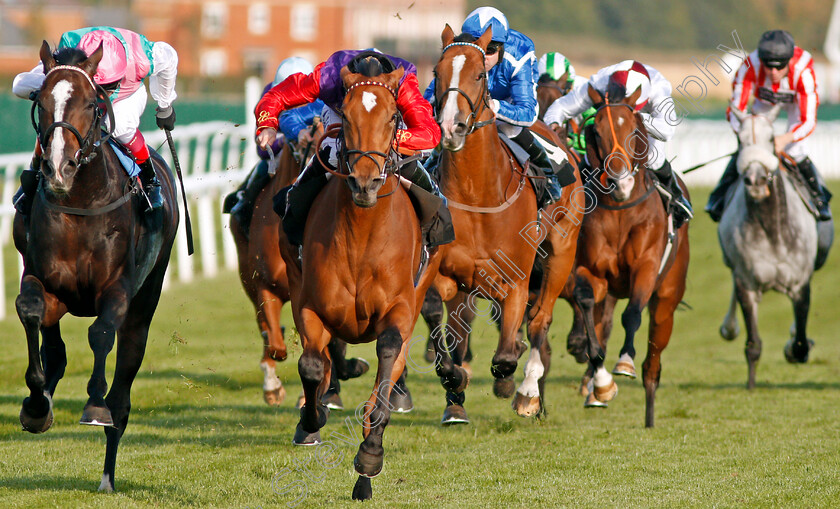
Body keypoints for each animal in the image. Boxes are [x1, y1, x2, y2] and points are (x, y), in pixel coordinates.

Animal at [13, 42, 179, 488]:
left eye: (91, 104)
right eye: (41, 101)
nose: (58, 167)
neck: (80, 203)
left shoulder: (118, 289)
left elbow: (101, 332)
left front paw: (93, 404)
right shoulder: (42, 279)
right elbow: (30, 312)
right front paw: (36, 404)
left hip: (145, 304)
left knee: (123, 392)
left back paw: (108, 474)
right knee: (55, 348)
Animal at [278, 64, 442, 500]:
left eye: (392, 117)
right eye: (346, 117)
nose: (365, 183)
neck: (363, 236)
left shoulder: (400, 311)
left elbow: (386, 366)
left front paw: (369, 456)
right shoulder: (310, 306)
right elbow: (312, 366)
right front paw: (311, 418)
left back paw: (365, 474)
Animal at [576, 85, 692, 426]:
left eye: (632, 129)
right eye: (596, 130)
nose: (621, 182)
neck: (620, 208)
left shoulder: (647, 268)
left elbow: (632, 315)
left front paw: (624, 362)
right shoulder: (593, 272)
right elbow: (586, 305)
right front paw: (602, 381)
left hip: (667, 300)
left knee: (652, 364)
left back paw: (649, 416)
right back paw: (595, 389)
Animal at [720, 104, 832, 388]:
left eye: (771, 139)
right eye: (740, 141)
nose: (756, 181)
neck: (772, 230)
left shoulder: (800, 284)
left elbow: (801, 343)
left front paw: (793, 348)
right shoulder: (746, 283)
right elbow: (753, 344)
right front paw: (750, 385)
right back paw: (729, 326)